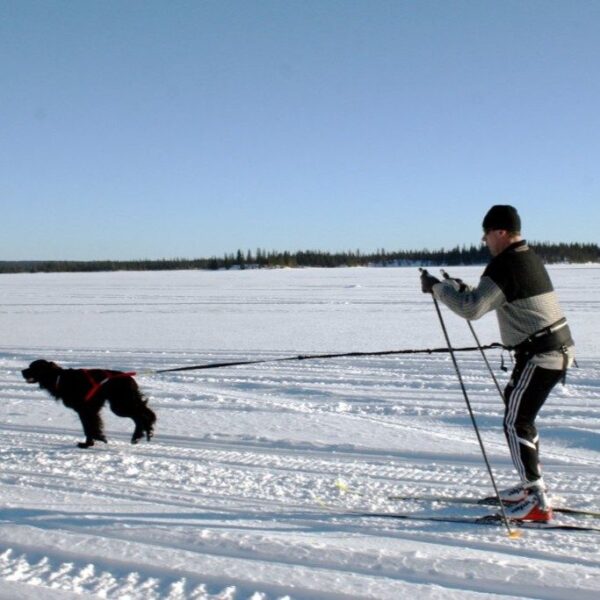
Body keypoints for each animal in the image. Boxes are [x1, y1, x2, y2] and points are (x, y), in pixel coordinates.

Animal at [22, 358, 156, 448]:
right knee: (141, 415)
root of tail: (130, 379)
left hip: (120, 405)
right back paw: (140, 435)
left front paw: (89, 443)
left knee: (141, 415)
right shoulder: (90, 410)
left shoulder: (85, 410)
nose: (22, 371)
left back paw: (144, 432)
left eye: (33, 367)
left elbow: (88, 427)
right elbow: (91, 426)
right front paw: (93, 441)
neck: (59, 378)